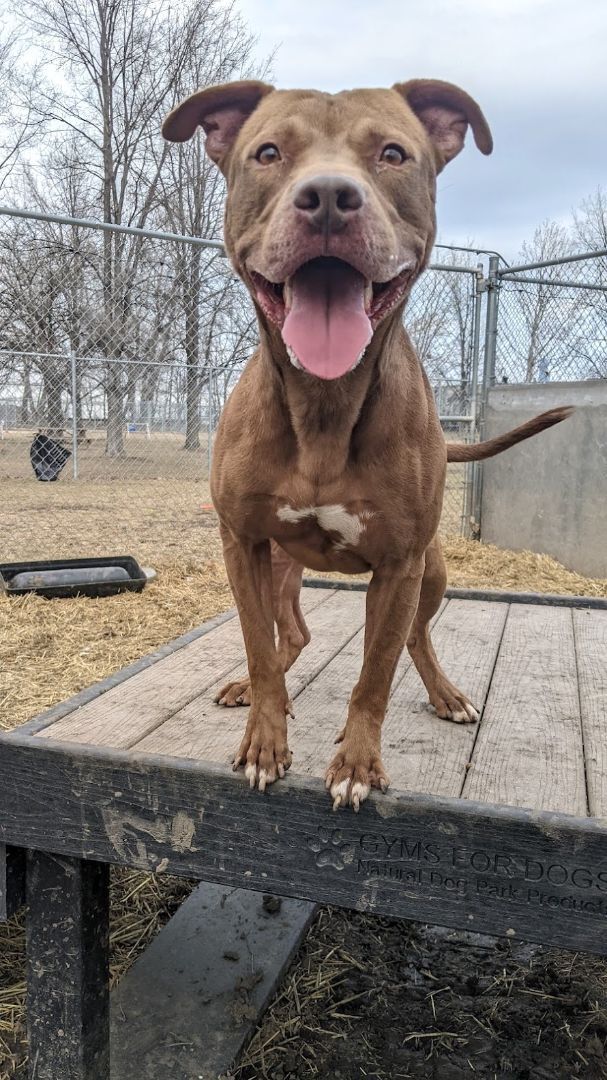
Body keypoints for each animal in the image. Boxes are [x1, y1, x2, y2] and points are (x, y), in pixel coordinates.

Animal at [163, 78, 570, 812]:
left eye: (392, 154)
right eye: (268, 152)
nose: (328, 196)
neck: (325, 407)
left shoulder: (399, 564)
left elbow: (375, 671)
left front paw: (356, 762)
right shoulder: (243, 544)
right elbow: (260, 648)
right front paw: (264, 740)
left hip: (429, 572)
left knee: (416, 638)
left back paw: (445, 694)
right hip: (281, 564)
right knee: (290, 634)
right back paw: (253, 688)